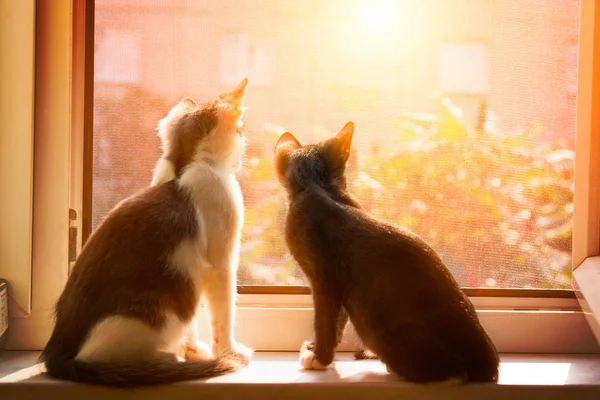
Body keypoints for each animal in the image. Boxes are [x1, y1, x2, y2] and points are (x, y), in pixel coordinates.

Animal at [39, 79, 251, 388]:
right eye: (241, 133)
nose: (241, 156)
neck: (185, 167)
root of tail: (57, 347)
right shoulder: (220, 264)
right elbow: (223, 316)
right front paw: (229, 353)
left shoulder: (194, 273)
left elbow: (194, 324)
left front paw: (194, 350)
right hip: (155, 316)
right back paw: (166, 360)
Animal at [274, 122, 500, 384]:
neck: (318, 187)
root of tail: (487, 362)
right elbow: (339, 319)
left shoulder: (324, 280)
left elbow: (325, 321)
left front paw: (319, 357)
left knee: (450, 373)